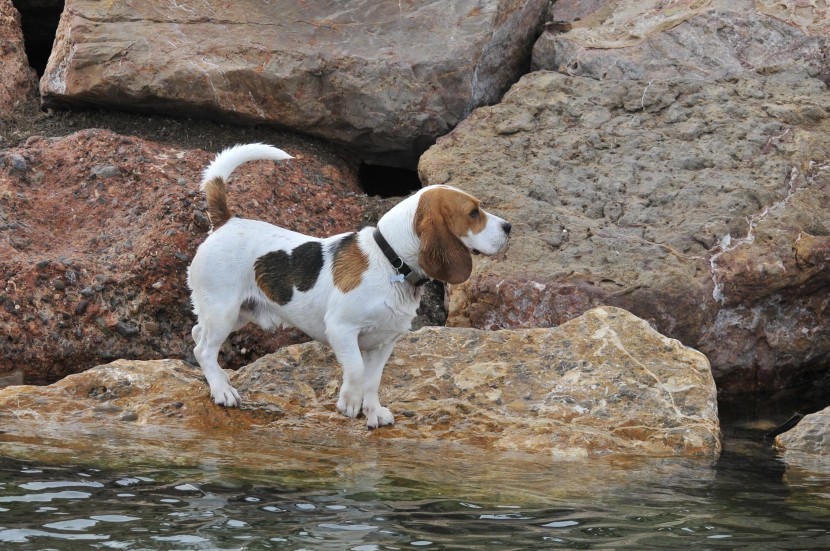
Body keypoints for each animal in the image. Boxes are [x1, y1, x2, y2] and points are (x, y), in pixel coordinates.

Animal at [189, 142, 512, 426]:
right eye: (473, 213)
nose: (509, 227)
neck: (390, 261)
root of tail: (227, 221)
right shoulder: (342, 330)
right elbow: (356, 370)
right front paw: (349, 401)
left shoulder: (383, 342)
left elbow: (373, 380)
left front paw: (373, 412)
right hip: (224, 310)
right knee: (203, 350)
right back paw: (222, 391)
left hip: (238, 313)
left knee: (197, 336)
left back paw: (218, 377)